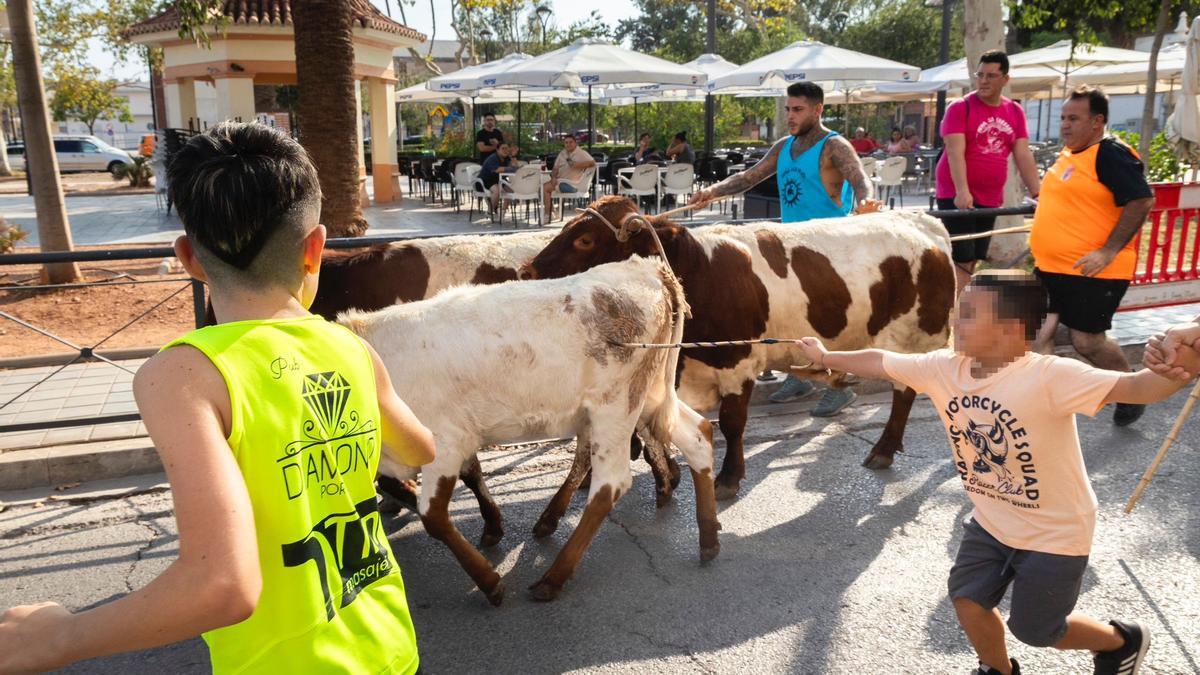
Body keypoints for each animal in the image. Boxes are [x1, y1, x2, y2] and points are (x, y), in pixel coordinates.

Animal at [338, 254, 715, 600]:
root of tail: (646, 267)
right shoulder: (460, 438)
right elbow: (465, 477)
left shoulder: (444, 442)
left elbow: (432, 516)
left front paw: (489, 582)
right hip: (650, 395)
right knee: (698, 436)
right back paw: (709, 539)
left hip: (616, 407)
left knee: (610, 485)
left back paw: (554, 577)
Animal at [525, 194, 955, 499]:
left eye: (584, 239)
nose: (528, 271)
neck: (699, 270)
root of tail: (922, 222)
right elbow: (654, 427)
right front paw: (670, 473)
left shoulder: (738, 361)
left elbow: (732, 424)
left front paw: (729, 476)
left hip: (913, 339)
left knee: (904, 393)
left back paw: (884, 448)